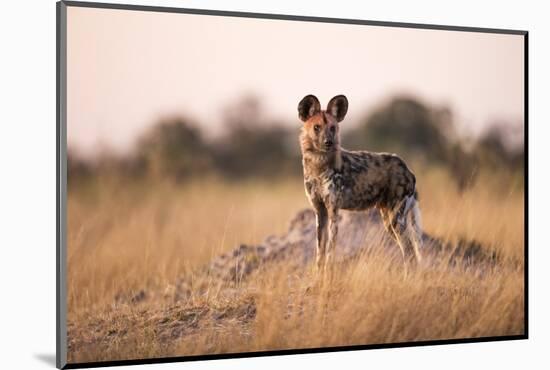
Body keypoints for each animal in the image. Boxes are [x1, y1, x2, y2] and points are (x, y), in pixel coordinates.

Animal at [300, 94, 424, 270]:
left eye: (333, 128)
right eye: (316, 127)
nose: (328, 142)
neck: (318, 165)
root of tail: (409, 170)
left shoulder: (333, 212)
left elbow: (329, 255)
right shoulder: (320, 212)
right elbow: (320, 257)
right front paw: (318, 277)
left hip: (395, 220)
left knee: (410, 254)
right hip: (388, 220)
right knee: (411, 253)